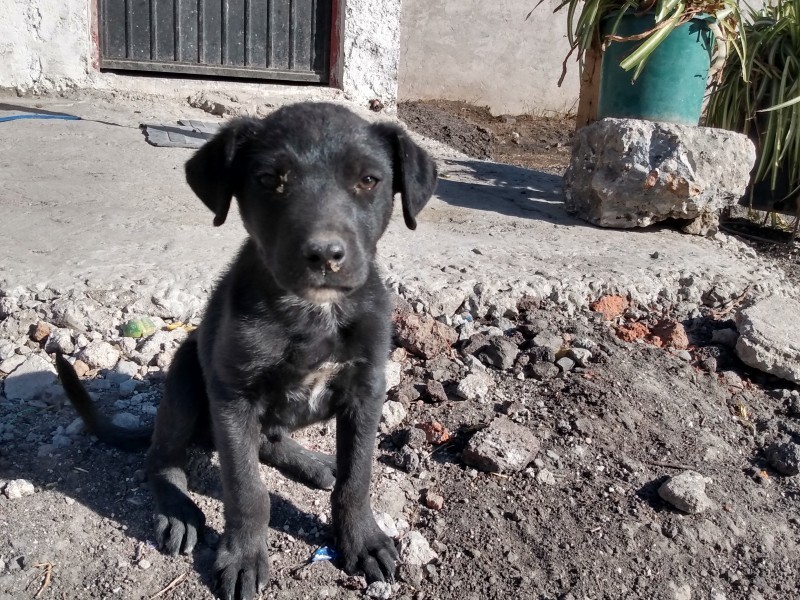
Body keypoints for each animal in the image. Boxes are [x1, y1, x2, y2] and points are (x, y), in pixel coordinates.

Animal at [56, 103, 438, 600]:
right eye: (270, 179)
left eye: (369, 180)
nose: (324, 256)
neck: (312, 313)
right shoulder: (233, 397)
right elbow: (246, 489)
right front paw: (243, 556)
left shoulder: (366, 390)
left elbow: (357, 476)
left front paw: (362, 539)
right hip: (185, 378)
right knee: (162, 458)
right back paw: (178, 511)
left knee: (270, 440)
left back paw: (312, 462)